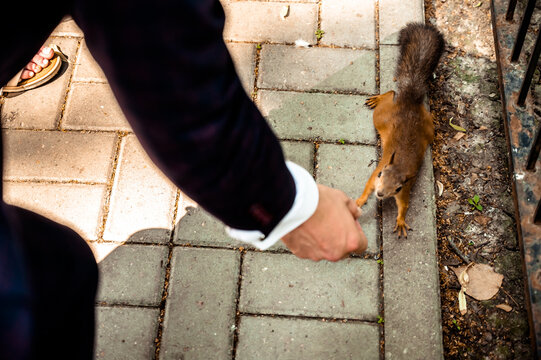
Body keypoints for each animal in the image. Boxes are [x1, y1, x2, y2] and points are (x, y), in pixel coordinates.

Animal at [354, 21, 442, 238]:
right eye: (381, 176)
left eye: (397, 187)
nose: (380, 194)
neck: (399, 165)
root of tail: (409, 102)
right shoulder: (375, 174)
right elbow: (367, 186)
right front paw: (361, 200)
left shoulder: (405, 189)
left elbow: (404, 205)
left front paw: (401, 221)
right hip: (381, 118)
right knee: (391, 93)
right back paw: (379, 97)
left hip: (428, 128)